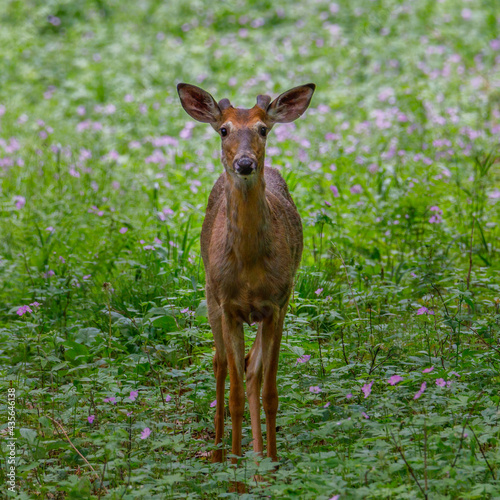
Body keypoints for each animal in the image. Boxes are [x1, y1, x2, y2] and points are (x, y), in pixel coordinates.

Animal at [178, 82, 314, 472]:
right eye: (223, 130)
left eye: (263, 129)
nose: (244, 163)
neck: (251, 267)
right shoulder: (228, 306)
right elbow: (235, 395)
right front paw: (235, 470)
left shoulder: (278, 304)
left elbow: (269, 391)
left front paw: (271, 463)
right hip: (209, 296)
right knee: (220, 362)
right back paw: (220, 452)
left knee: (252, 367)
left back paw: (256, 457)